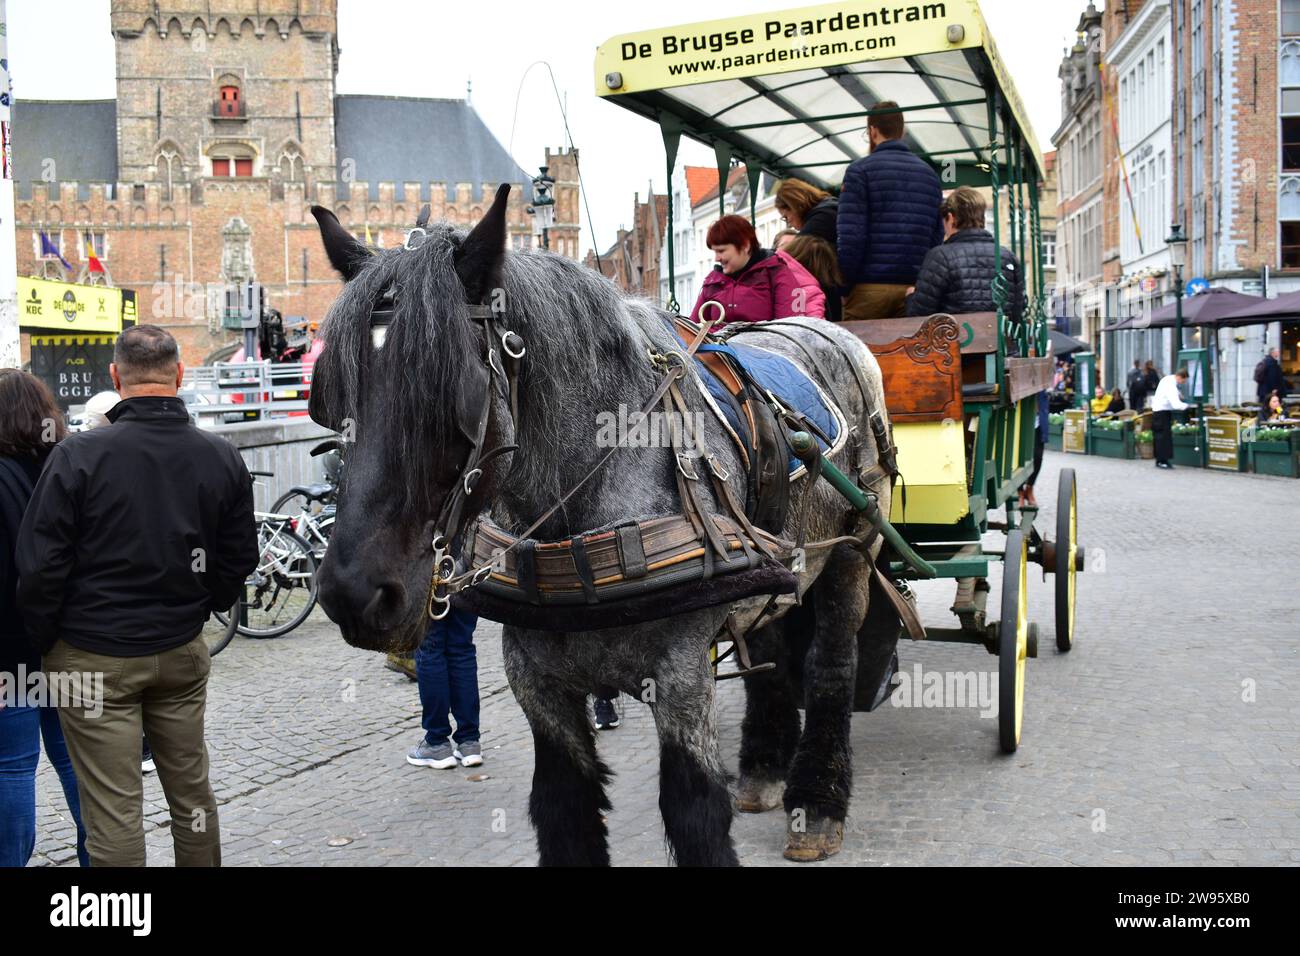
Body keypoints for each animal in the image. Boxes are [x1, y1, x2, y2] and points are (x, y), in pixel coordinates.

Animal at [308, 183, 899, 863]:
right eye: (330, 397)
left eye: (455, 395)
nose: (353, 593)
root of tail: (831, 332)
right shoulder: (535, 679)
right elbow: (565, 809)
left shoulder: (681, 672)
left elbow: (695, 812)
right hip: (774, 565)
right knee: (773, 649)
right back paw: (763, 772)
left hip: (852, 550)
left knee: (832, 662)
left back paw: (817, 802)